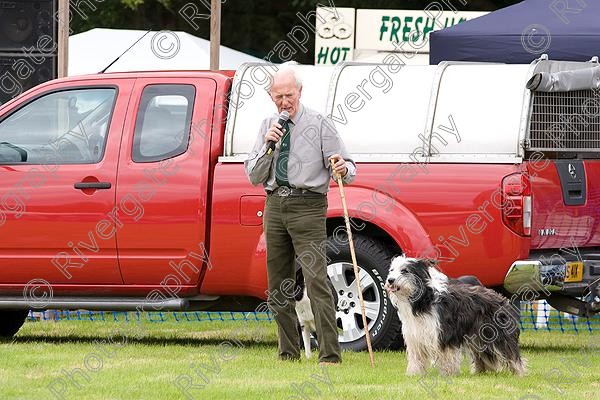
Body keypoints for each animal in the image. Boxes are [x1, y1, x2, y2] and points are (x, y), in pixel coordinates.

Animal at [384, 256, 524, 376]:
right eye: (392, 270)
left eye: (404, 271)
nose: (390, 280)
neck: (423, 302)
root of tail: (500, 297)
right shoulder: (415, 336)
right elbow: (416, 358)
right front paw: (414, 374)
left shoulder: (444, 333)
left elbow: (446, 357)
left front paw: (448, 374)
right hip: (478, 337)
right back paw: (479, 372)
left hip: (497, 334)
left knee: (511, 353)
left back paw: (519, 372)